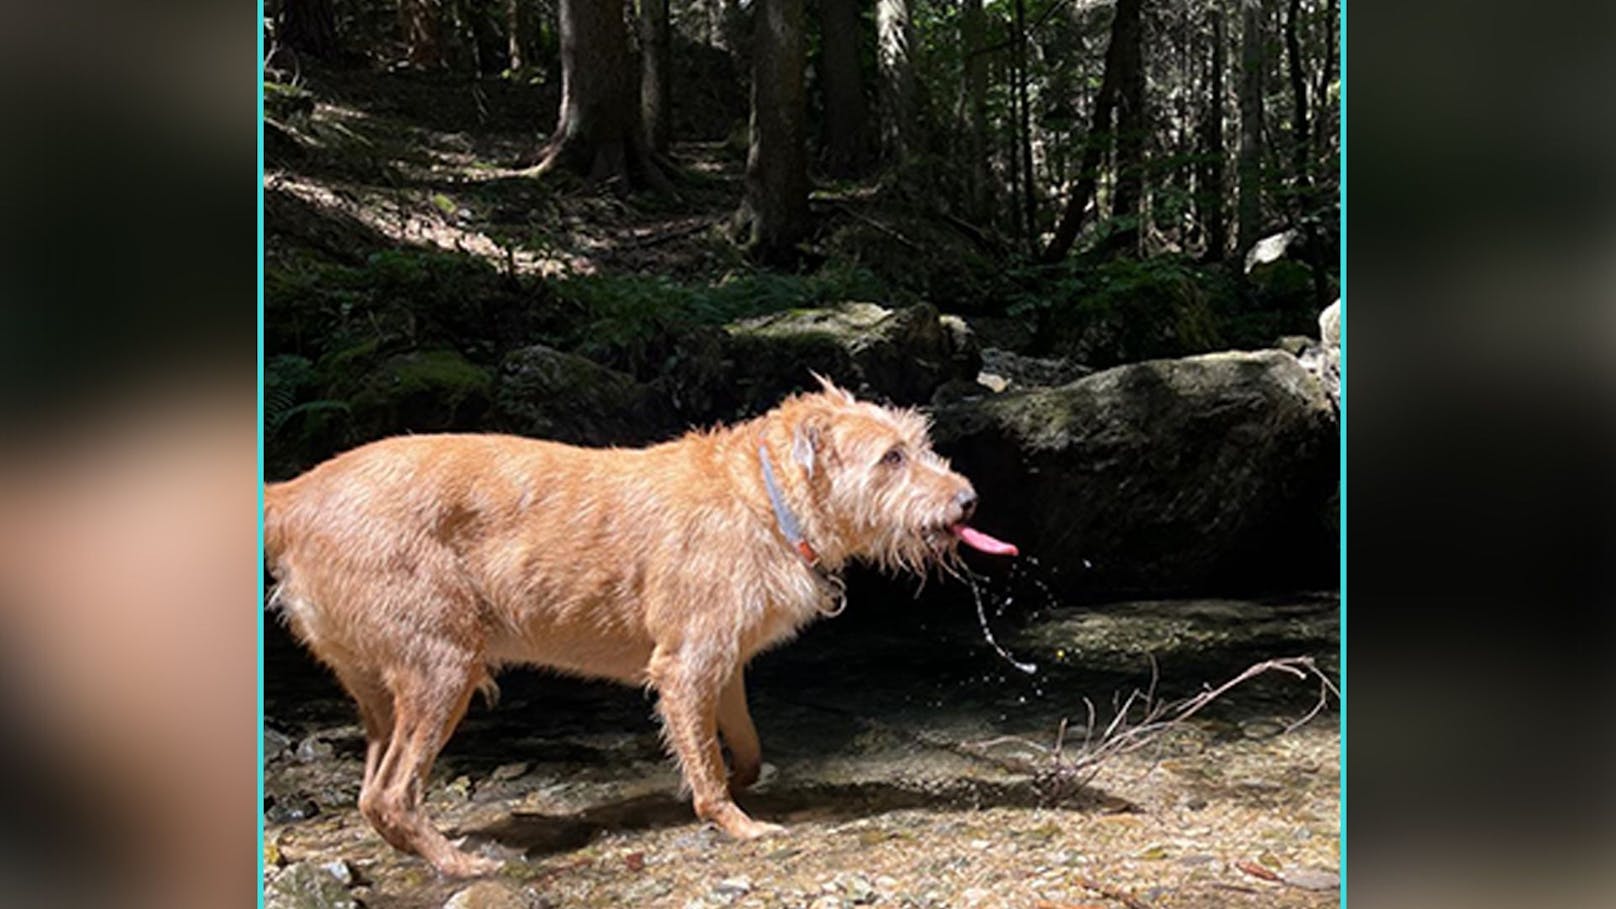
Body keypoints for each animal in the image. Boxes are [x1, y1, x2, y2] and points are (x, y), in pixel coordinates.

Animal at [269, 375, 1014, 873]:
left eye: (921, 444)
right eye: (891, 457)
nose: (971, 498)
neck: (766, 499)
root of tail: (294, 493)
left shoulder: (724, 663)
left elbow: (741, 745)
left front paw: (737, 782)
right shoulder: (686, 665)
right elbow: (708, 765)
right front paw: (737, 822)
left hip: (377, 684)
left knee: (371, 793)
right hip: (444, 666)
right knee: (393, 792)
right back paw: (460, 863)